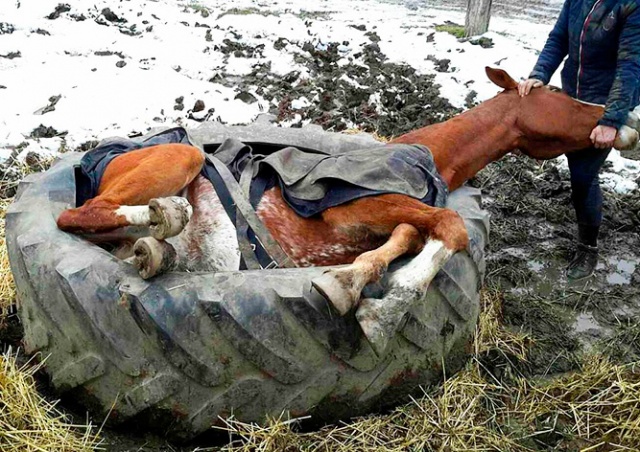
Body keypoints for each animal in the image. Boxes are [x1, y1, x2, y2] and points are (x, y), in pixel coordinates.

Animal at [57, 69, 636, 354]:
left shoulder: (385, 220)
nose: (621, 123)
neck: (421, 154)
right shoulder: (356, 208)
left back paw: (159, 249)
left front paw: (354, 281)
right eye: (562, 95)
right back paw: (164, 215)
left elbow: (407, 237)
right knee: (78, 216)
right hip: (180, 157)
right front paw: (385, 309)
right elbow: (449, 227)